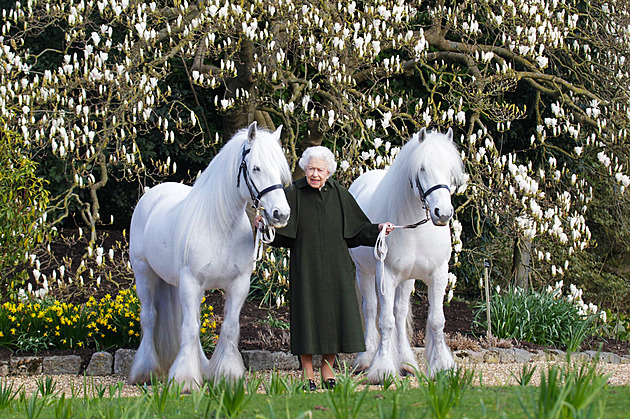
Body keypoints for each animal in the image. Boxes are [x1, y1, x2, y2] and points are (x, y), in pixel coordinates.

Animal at [131, 122, 294, 394]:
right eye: (256, 167)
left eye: (280, 169)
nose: (280, 214)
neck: (220, 227)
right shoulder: (191, 282)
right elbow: (189, 328)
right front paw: (185, 381)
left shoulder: (238, 285)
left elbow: (227, 327)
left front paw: (226, 376)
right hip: (144, 273)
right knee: (150, 317)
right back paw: (145, 371)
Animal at [348, 127, 466, 384]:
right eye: (422, 168)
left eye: (450, 170)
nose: (443, 213)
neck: (416, 228)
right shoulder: (386, 276)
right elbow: (385, 322)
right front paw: (382, 369)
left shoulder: (438, 274)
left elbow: (435, 321)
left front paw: (442, 366)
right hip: (365, 273)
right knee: (371, 309)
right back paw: (366, 359)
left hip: (407, 279)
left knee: (400, 313)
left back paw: (406, 362)